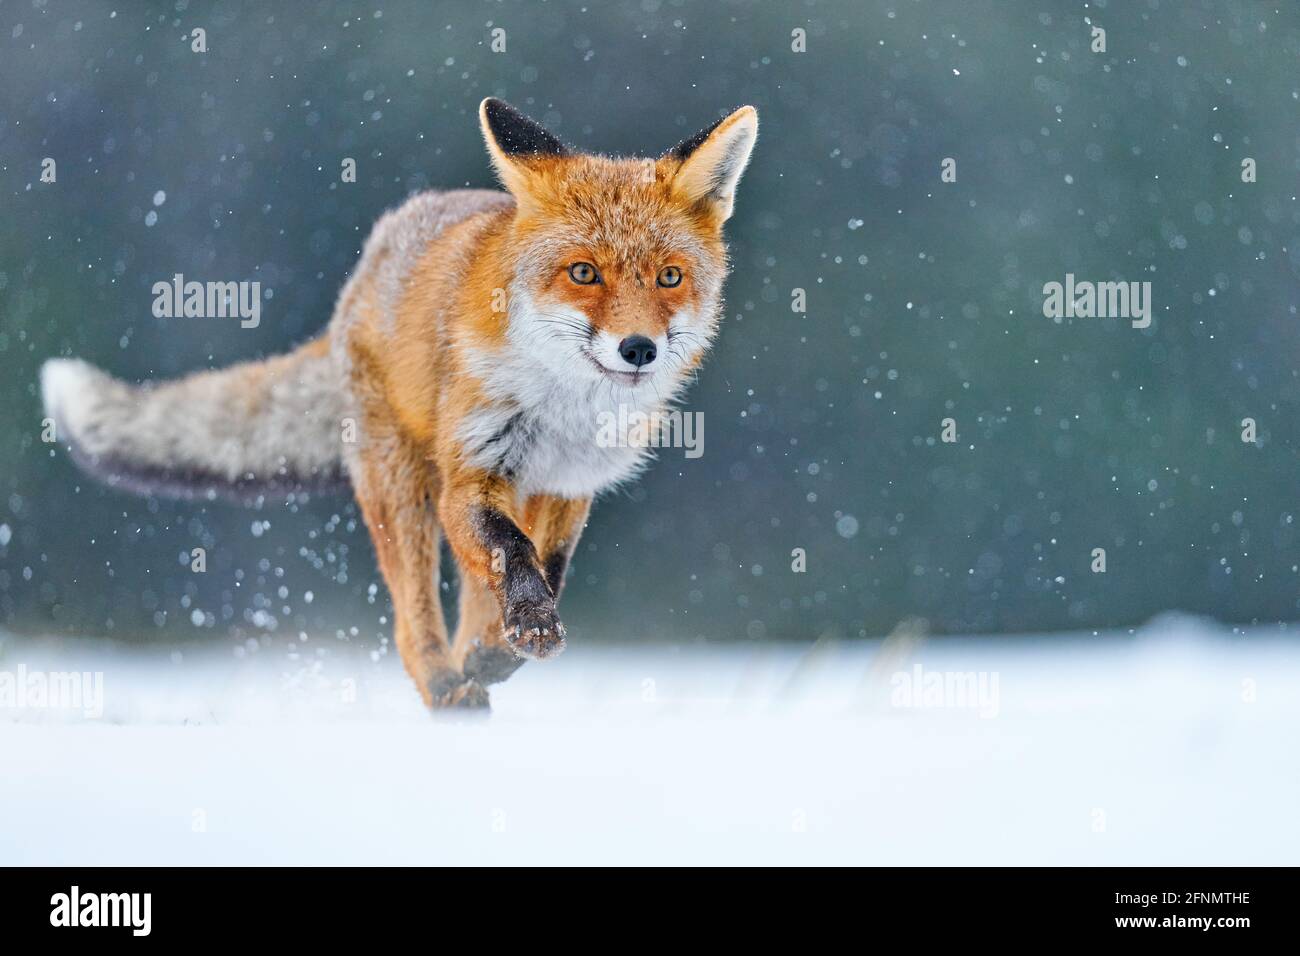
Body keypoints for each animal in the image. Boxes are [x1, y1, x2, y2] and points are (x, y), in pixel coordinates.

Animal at [40, 98, 759, 712]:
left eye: (669, 277)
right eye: (584, 273)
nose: (639, 349)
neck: (564, 411)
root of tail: (362, 273)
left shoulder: (567, 485)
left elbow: (546, 568)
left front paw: (505, 645)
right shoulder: (473, 474)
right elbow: (512, 554)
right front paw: (525, 629)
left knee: (470, 602)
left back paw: (475, 665)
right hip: (403, 489)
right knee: (413, 622)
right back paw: (445, 685)